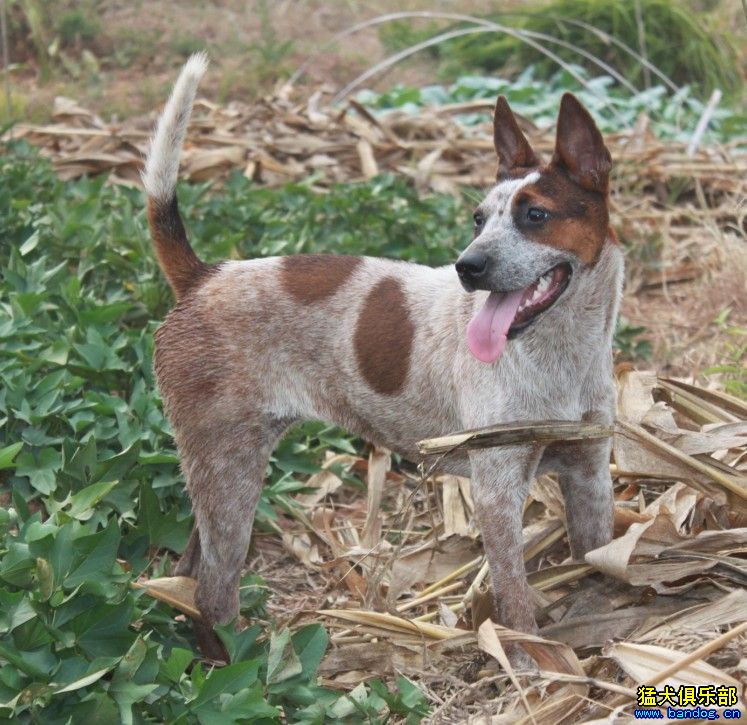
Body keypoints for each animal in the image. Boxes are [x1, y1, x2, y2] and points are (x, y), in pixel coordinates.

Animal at [143, 52, 624, 660]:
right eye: (478, 218)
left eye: (535, 216)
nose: (468, 267)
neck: (565, 355)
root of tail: (203, 277)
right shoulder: (497, 493)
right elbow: (515, 604)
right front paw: (528, 667)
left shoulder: (589, 475)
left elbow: (601, 559)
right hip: (231, 473)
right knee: (212, 593)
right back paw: (238, 668)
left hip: (222, 474)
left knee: (187, 573)